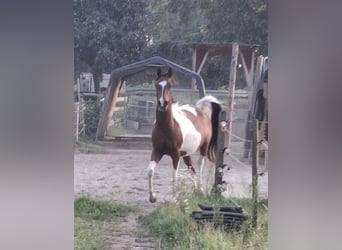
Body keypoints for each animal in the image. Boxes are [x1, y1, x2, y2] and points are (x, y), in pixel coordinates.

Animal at [148, 68, 222, 203]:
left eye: (170, 85)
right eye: (157, 84)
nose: (162, 104)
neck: (167, 127)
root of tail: (200, 110)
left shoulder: (175, 154)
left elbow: (174, 176)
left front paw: (174, 199)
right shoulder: (157, 151)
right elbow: (150, 171)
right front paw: (152, 197)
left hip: (203, 147)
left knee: (199, 164)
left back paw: (201, 190)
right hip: (187, 154)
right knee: (191, 168)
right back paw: (195, 190)